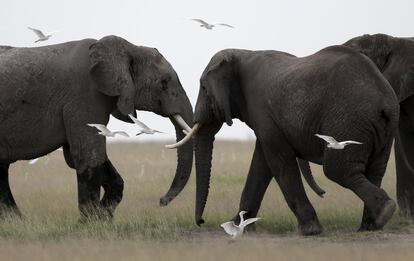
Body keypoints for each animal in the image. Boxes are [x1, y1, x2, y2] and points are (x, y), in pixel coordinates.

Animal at [0, 35, 194, 219]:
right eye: (163, 83)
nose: (162, 201)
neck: (128, 48)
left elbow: (88, 158)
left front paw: (104, 218)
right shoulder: (84, 95)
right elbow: (89, 156)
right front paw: (90, 222)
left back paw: (17, 222)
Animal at [170, 44, 400, 234]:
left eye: (203, 87)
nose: (201, 221)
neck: (242, 53)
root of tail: (383, 97)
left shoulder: (262, 109)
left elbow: (278, 160)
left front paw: (310, 230)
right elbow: (262, 163)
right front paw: (238, 225)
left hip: (349, 120)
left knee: (338, 170)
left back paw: (384, 212)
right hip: (381, 127)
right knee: (374, 170)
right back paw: (372, 224)